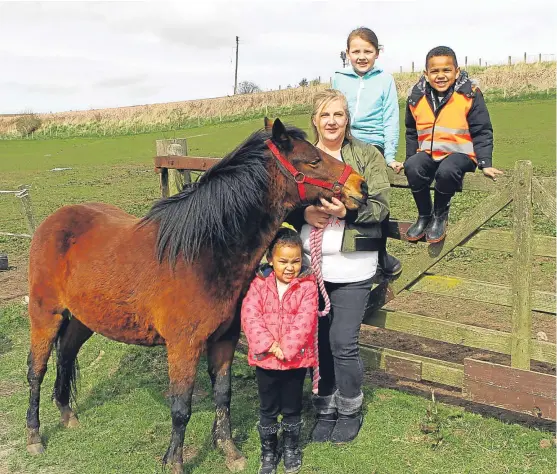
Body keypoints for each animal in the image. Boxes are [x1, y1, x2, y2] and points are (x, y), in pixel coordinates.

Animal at [26, 118, 368, 474]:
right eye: (313, 160)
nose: (361, 186)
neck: (203, 253)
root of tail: (53, 221)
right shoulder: (183, 346)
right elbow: (181, 407)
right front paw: (174, 461)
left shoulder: (224, 340)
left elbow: (223, 395)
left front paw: (229, 450)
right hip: (45, 315)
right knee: (36, 369)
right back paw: (34, 436)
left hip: (83, 319)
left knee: (65, 354)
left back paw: (67, 414)